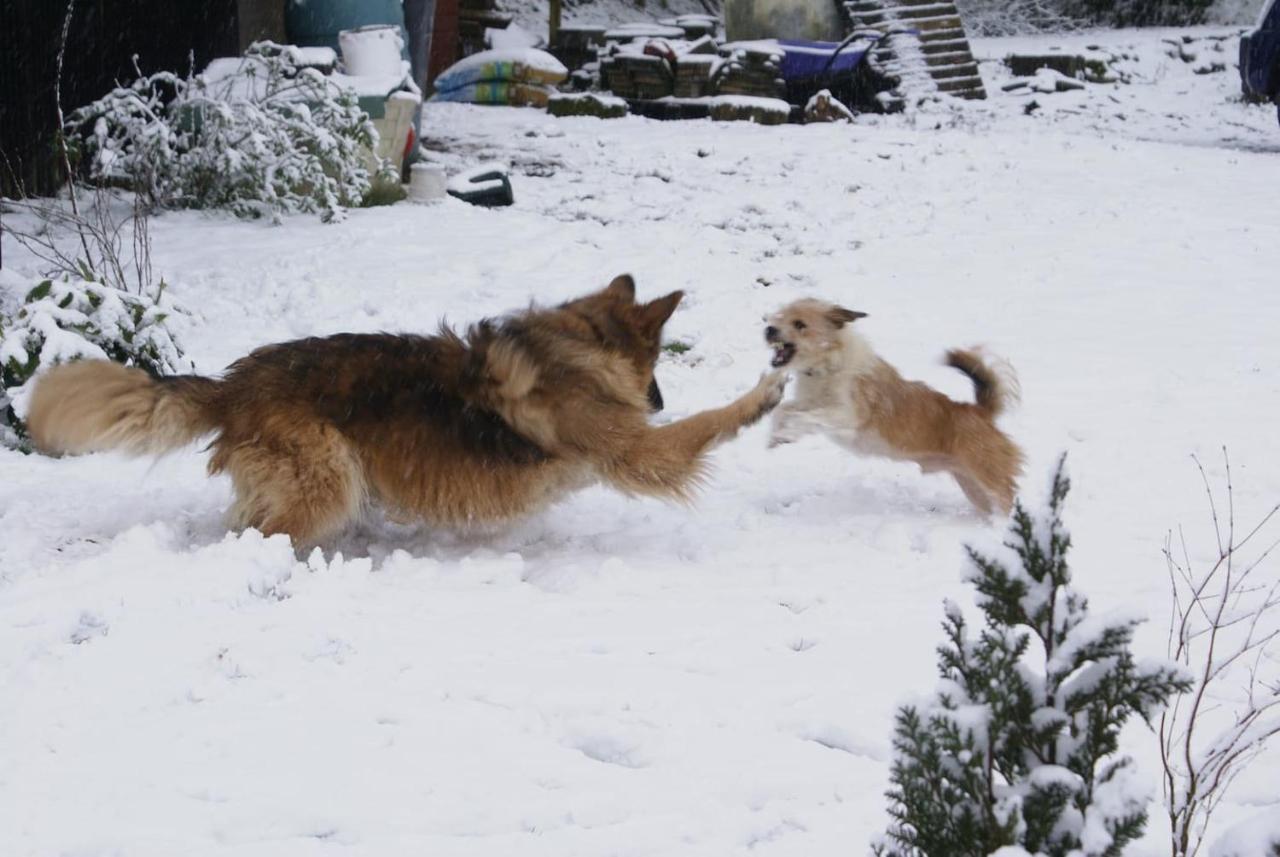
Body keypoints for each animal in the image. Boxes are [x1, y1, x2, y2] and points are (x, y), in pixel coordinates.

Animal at [30, 278, 783, 547]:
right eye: (655, 367)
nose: (656, 399)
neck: (578, 346)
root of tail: (233, 384)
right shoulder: (638, 452)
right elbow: (706, 424)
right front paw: (764, 392)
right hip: (328, 479)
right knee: (263, 533)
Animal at [762, 300, 1024, 516]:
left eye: (799, 324)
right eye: (780, 315)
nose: (769, 329)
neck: (829, 365)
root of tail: (982, 412)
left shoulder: (848, 416)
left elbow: (810, 417)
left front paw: (789, 431)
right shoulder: (809, 402)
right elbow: (784, 410)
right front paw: (776, 436)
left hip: (989, 478)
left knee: (1006, 501)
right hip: (971, 484)